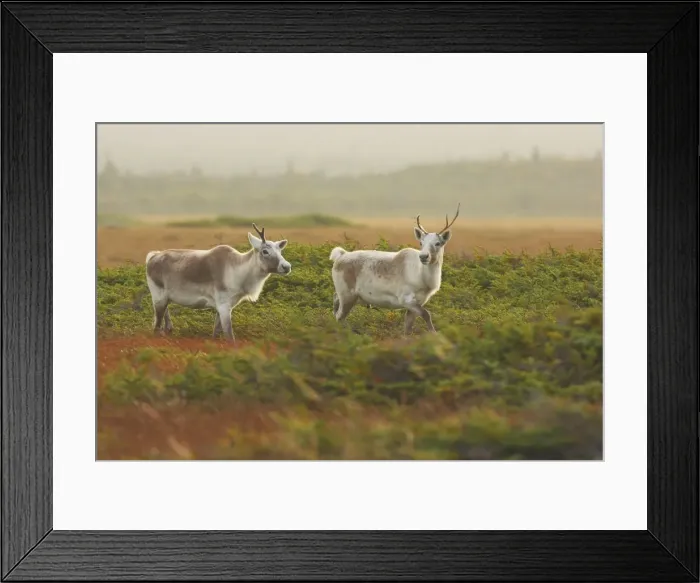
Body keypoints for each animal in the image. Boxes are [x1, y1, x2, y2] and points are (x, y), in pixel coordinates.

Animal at [145, 223, 291, 341]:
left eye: (280, 250)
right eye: (265, 251)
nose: (287, 266)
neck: (238, 271)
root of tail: (152, 257)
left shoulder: (223, 307)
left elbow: (216, 333)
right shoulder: (224, 306)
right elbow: (229, 336)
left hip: (165, 299)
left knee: (164, 322)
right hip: (158, 297)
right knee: (156, 327)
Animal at [329, 204, 460, 335]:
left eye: (438, 243)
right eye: (421, 243)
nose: (423, 256)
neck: (421, 276)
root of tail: (340, 256)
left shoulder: (418, 302)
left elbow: (408, 329)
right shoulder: (406, 299)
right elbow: (426, 314)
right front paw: (435, 335)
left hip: (350, 296)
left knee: (335, 303)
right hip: (347, 295)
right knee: (339, 316)